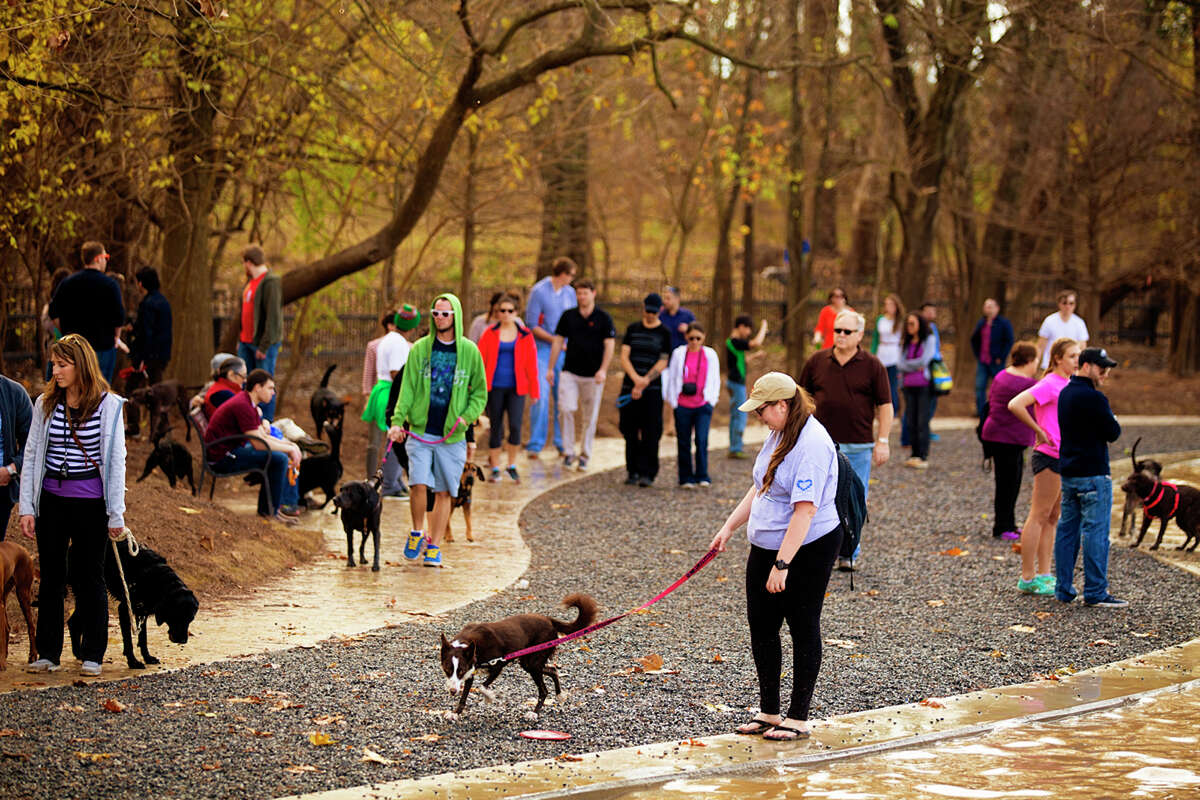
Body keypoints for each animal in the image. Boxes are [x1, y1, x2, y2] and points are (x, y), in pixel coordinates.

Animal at [70, 544, 200, 671]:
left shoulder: (143, 611)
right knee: (74, 622)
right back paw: (80, 654)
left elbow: (143, 639)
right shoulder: (124, 610)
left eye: (191, 619)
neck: (155, 579)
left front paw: (147, 658)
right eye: (176, 617)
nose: (183, 641)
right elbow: (128, 641)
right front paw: (133, 662)